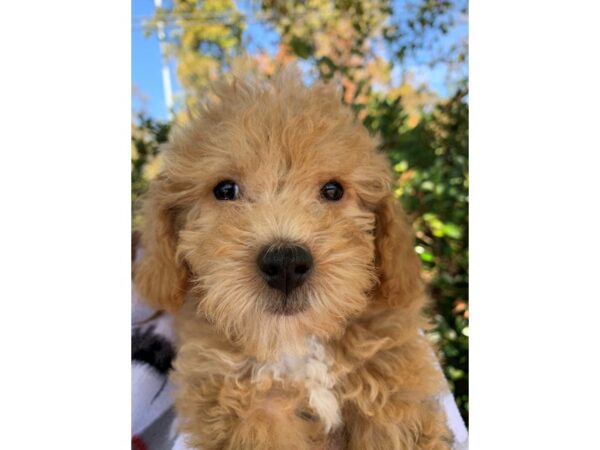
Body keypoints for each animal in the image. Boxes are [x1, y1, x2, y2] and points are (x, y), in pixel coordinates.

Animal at [134, 67, 452, 450]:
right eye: (225, 190)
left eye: (333, 190)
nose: (285, 263)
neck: (298, 343)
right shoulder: (249, 410)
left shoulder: (394, 381)